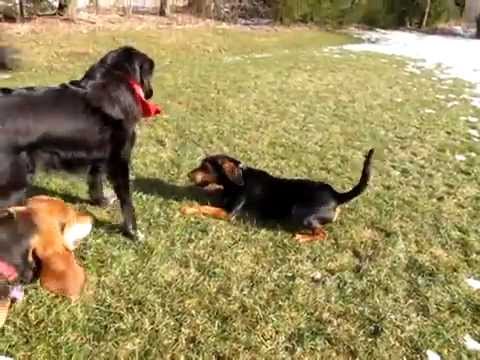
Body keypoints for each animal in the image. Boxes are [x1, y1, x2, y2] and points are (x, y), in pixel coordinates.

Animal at [0, 47, 161, 239]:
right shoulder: (119, 160)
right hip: (14, 185)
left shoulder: (99, 156)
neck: (114, 77)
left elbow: (95, 181)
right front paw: (133, 232)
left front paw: (101, 201)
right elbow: (127, 200)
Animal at [182, 148, 374, 243]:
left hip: (301, 211)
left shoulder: (228, 213)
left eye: (205, 167)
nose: (189, 175)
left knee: (322, 234)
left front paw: (187, 208)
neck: (238, 179)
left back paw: (303, 237)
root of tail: (336, 195)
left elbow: (204, 207)